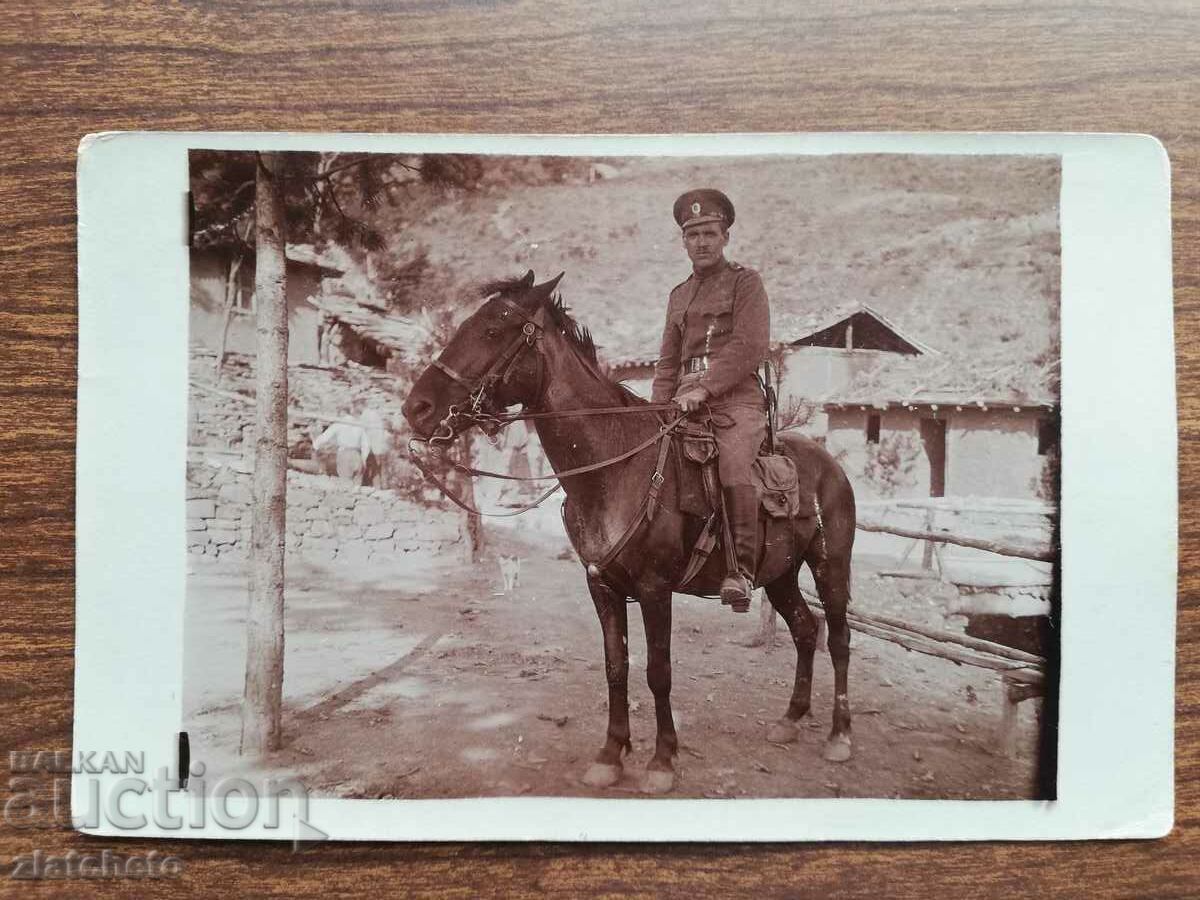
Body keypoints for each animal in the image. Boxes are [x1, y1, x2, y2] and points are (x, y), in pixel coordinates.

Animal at [408, 271, 859, 792]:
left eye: (492, 330)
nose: (416, 408)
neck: (616, 468)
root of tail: (830, 464)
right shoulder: (602, 586)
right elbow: (616, 666)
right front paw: (611, 753)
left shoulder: (654, 589)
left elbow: (658, 671)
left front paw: (662, 760)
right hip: (781, 574)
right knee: (805, 630)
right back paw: (790, 718)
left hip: (830, 566)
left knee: (838, 638)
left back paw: (839, 735)